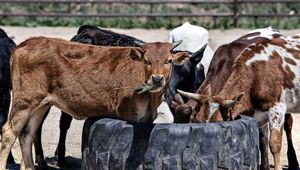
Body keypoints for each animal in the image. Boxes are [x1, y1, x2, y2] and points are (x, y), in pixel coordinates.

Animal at [0, 36, 188, 169]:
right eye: (146, 60)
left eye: (169, 61)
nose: (157, 79)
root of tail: (25, 44)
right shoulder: (130, 116)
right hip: (24, 102)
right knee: (9, 132)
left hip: (40, 105)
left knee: (27, 134)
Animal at [178, 28, 300, 169]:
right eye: (196, 121)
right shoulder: (258, 115)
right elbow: (262, 140)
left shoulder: (277, 108)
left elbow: (274, 144)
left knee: (288, 125)